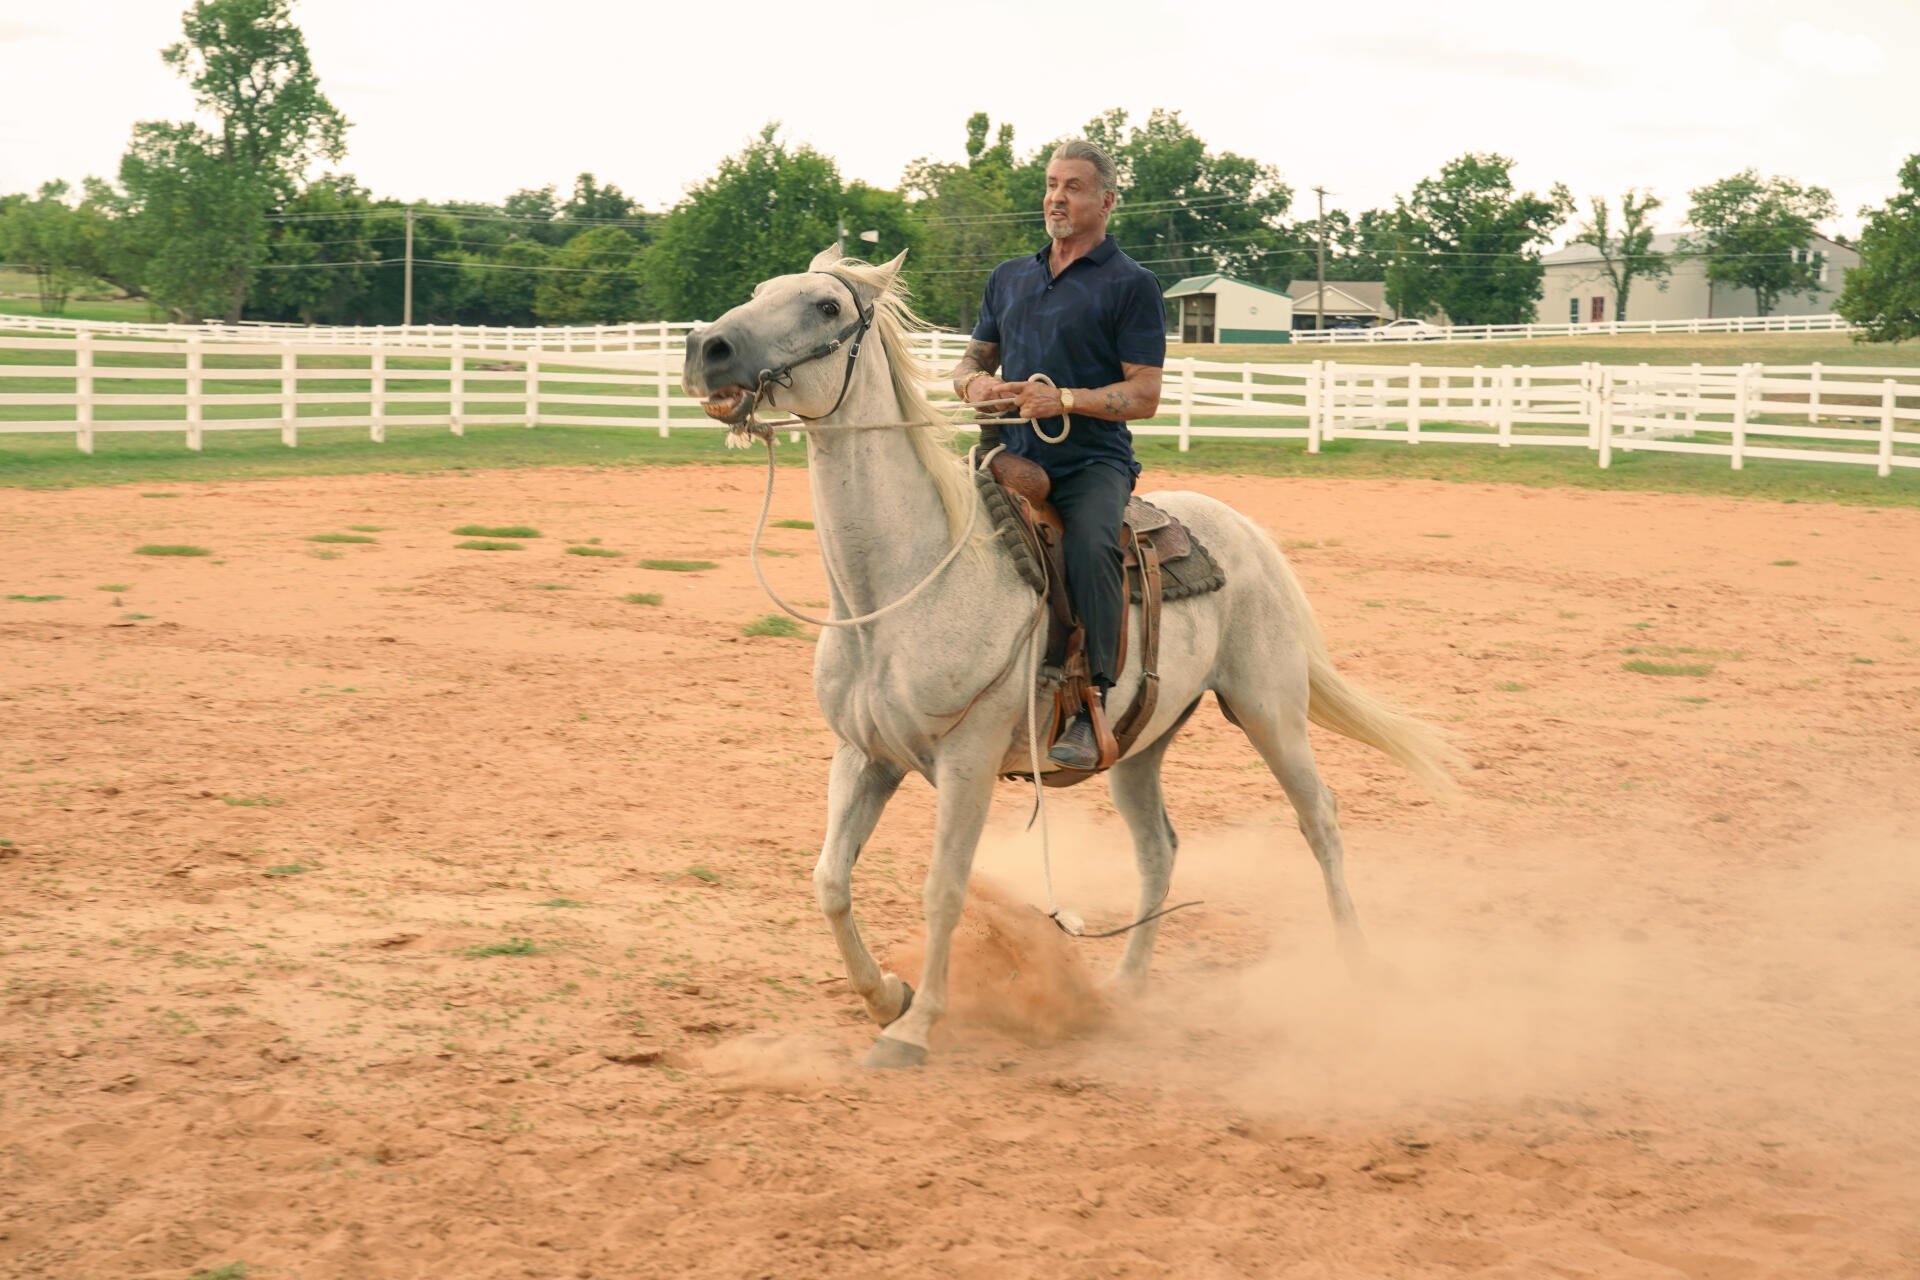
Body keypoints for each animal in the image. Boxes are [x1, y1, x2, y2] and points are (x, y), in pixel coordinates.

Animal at [682, 246, 1457, 1069]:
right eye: (761, 290)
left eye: (826, 306)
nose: (706, 347)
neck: (897, 589)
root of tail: (1248, 534)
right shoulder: (865, 754)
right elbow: (830, 880)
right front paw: (887, 995)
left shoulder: (968, 758)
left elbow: (943, 888)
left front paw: (915, 1027)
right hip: (1139, 745)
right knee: (1159, 852)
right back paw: (1126, 986)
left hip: (1271, 712)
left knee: (1321, 821)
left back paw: (1356, 971)